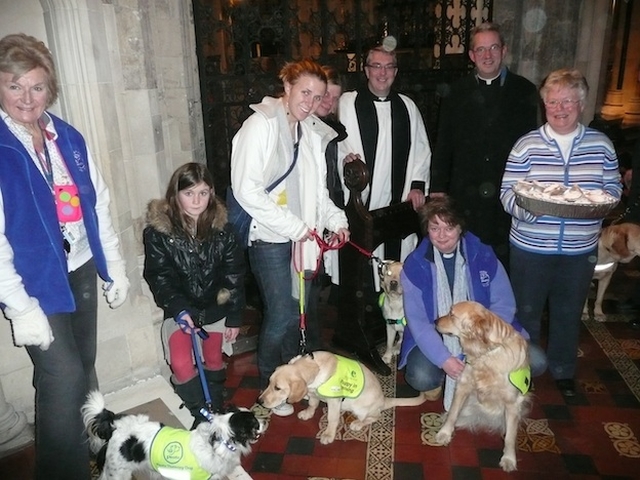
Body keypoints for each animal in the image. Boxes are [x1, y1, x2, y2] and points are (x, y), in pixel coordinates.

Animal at [255, 350, 424, 444]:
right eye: (269, 383)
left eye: (278, 388)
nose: (260, 401)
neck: (315, 368)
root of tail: (383, 400)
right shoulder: (314, 393)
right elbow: (313, 404)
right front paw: (308, 413)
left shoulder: (334, 400)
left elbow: (332, 418)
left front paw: (328, 434)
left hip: (361, 408)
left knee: (375, 416)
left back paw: (358, 423)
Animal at [432, 302, 532, 470]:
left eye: (452, 315)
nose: (435, 321)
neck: (486, 355)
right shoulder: (463, 385)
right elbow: (452, 413)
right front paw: (444, 433)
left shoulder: (512, 403)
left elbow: (510, 437)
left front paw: (509, 459)